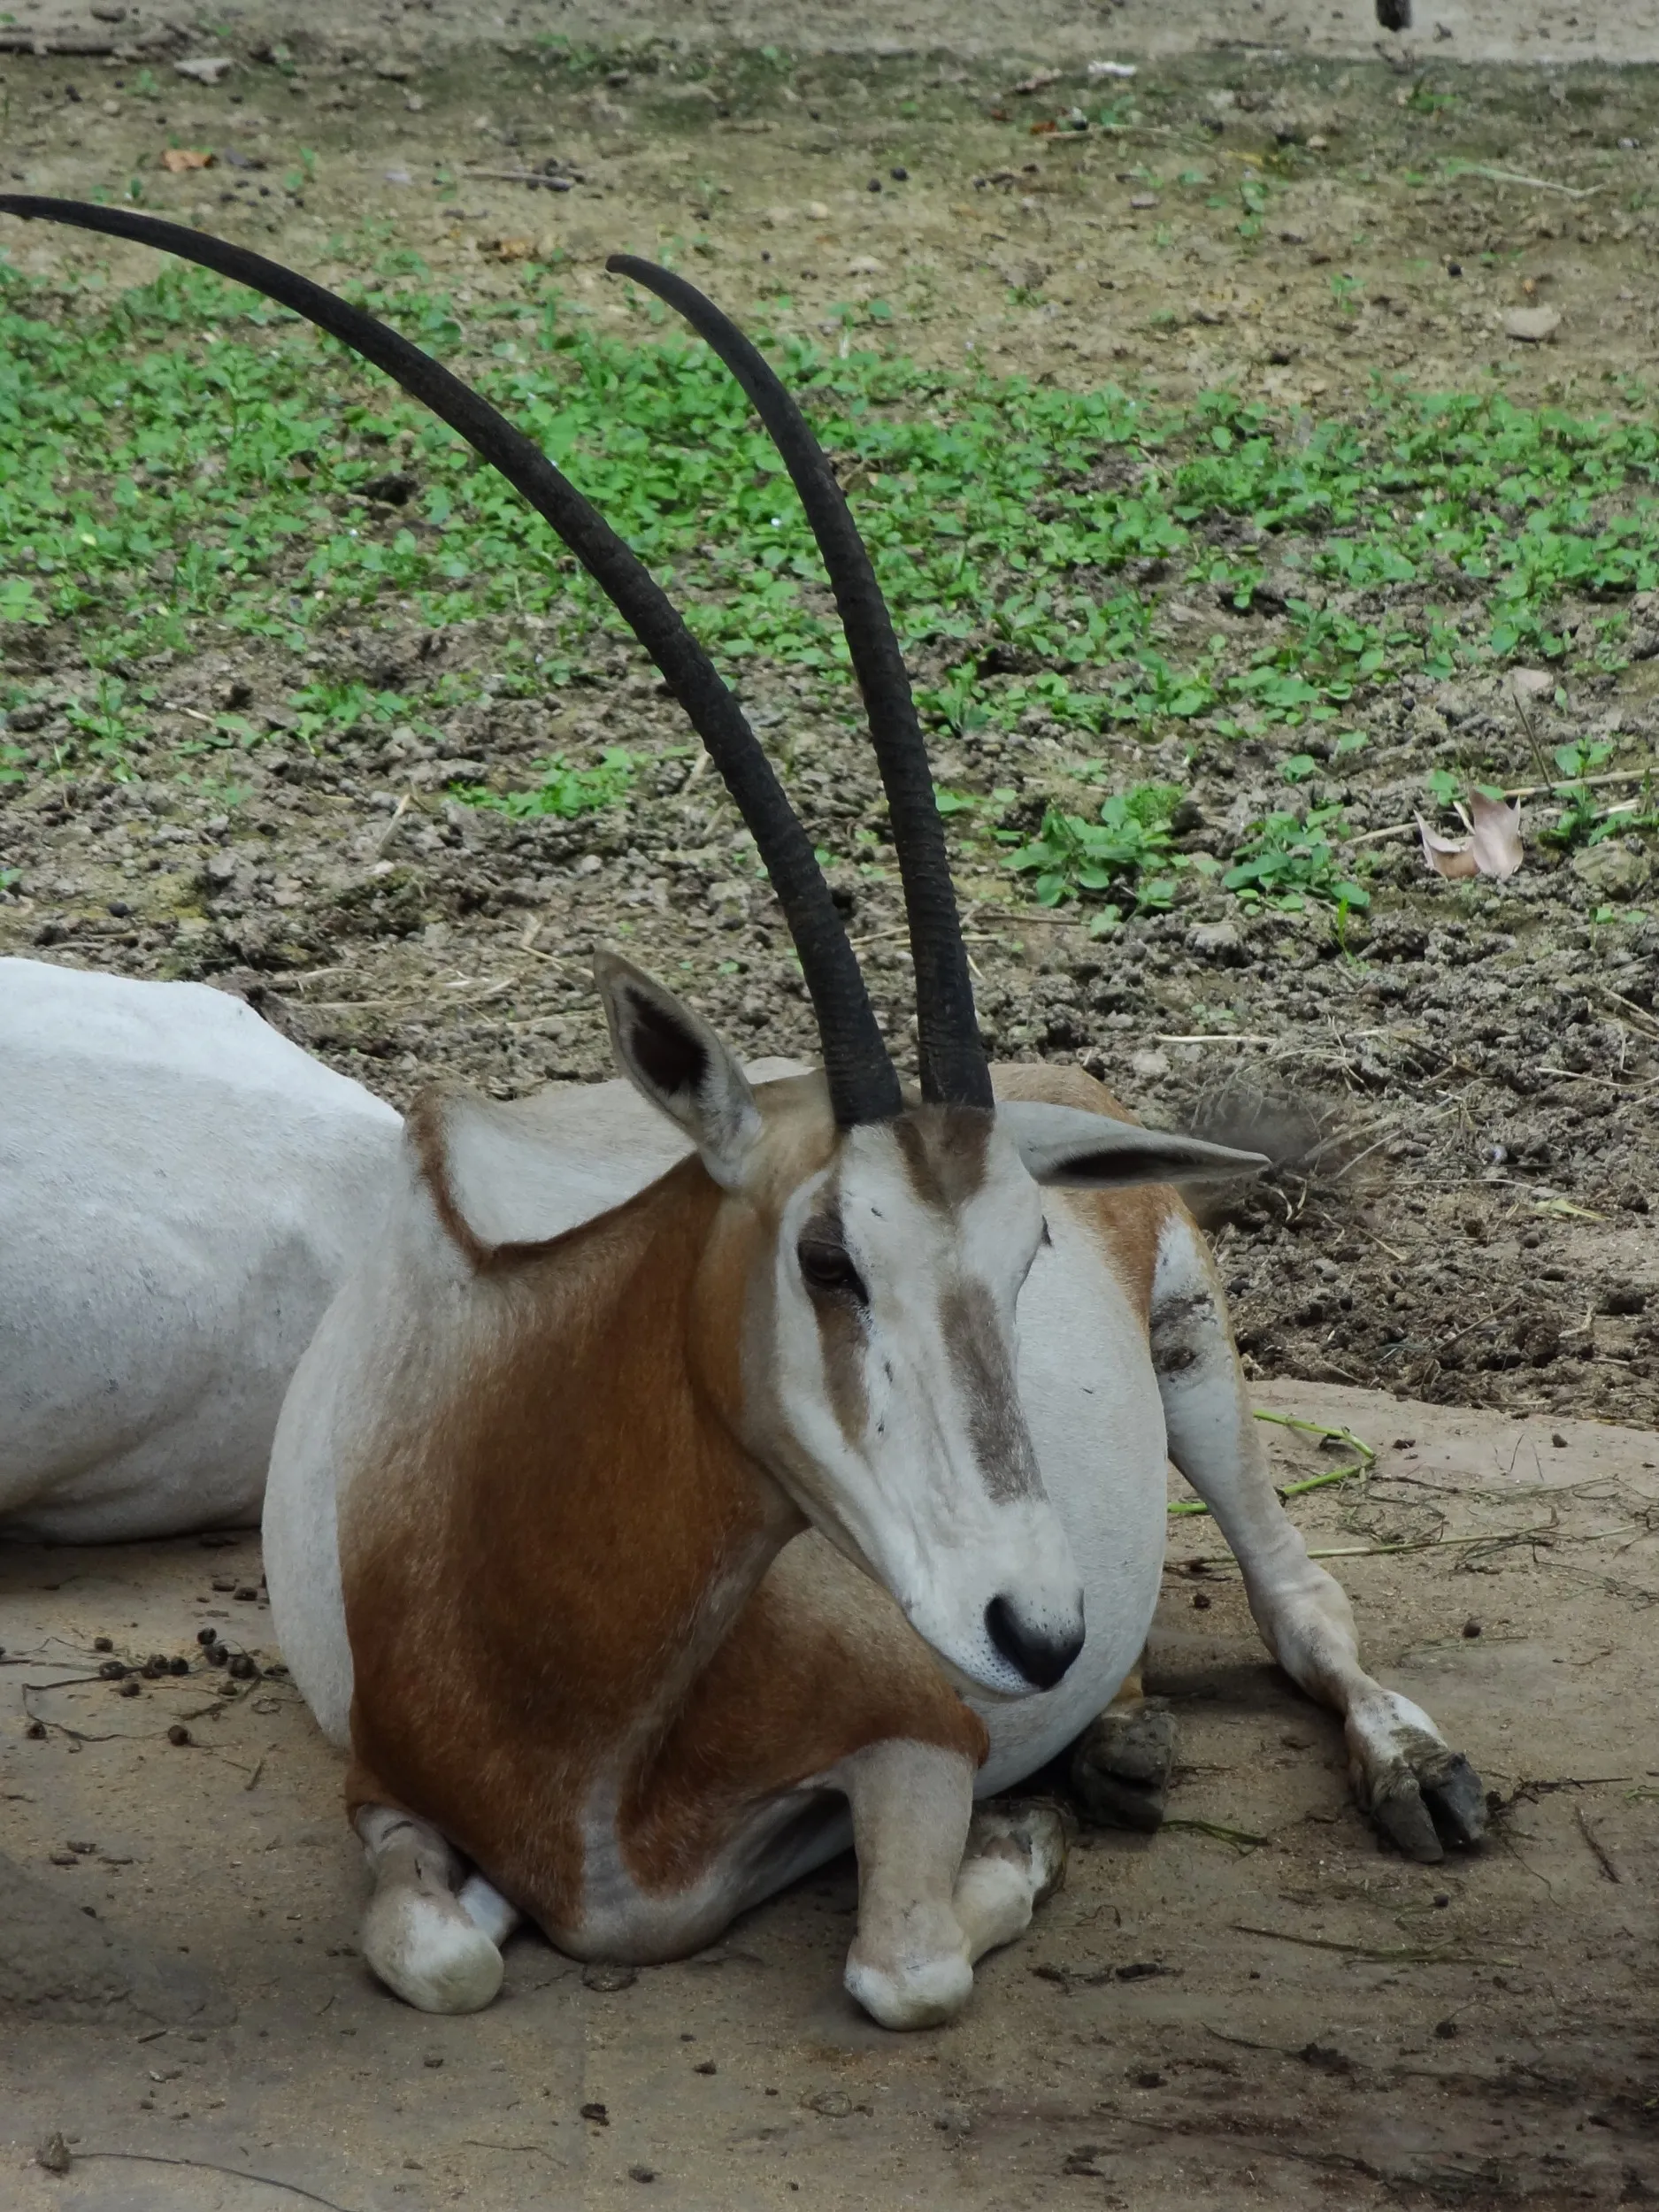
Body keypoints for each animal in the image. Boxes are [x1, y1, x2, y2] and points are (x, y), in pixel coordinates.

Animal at [1, 199, 1488, 2029]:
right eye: (827, 1259)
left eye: (1023, 1262)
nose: (1035, 1634)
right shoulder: (384, 1796)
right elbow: (444, 1953)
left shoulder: (918, 1739)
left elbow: (906, 1966)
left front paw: (1026, 1843)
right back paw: (1122, 1740)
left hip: (1198, 1358)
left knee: (1306, 1601)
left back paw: (1394, 1767)